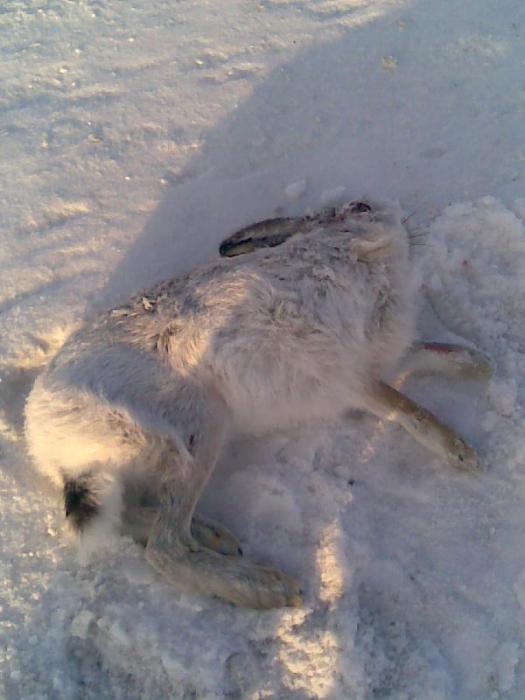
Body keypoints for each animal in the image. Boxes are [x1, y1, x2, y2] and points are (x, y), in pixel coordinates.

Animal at [24, 201, 490, 609]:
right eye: (361, 207)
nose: (407, 225)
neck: (339, 251)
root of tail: (45, 439)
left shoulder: (379, 360)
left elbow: (423, 354)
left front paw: (478, 363)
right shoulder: (348, 375)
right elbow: (408, 409)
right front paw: (464, 453)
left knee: (133, 518)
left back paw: (216, 535)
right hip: (198, 428)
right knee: (165, 548)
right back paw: (267, 587)